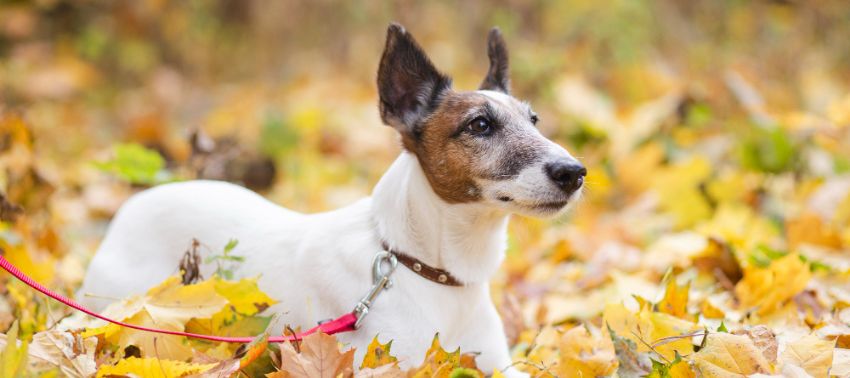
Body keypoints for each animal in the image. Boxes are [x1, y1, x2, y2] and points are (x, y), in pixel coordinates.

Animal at [78, 22, 584, 376]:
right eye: (480, 125)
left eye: (535, 120)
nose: (575, 172)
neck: (426, 268)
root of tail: (140, 201)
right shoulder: (386, 363)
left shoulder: (500, 364)